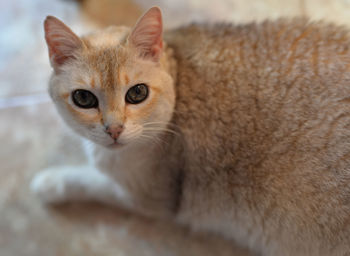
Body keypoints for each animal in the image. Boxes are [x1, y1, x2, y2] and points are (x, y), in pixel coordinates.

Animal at [30, 6, 350, 256]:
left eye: (137, 93)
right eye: (84, 99)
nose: (114, 129)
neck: (179, 75)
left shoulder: (151, 198)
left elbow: (86, 180)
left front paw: (48, 182)